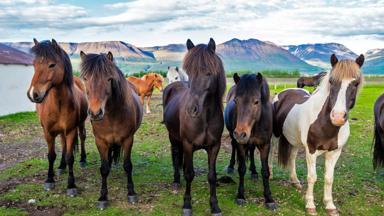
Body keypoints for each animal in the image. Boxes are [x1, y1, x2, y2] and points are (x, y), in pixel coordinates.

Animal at [27, 38, 88, 196]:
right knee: (63, 143)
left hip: (80, 124)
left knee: (82, 137)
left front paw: (71, 185)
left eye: (52, 64)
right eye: (34, 64)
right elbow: (51, 155)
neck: (58, 104)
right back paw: (61, 166)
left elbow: (70, 156)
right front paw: (49, 179)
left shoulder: (71, 130)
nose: (33, 94)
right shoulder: (48, 132)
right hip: (60, 131)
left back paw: (83, 160)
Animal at [79, 50, 142, 209]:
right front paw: (103, 197)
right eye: (85, 78)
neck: (112, 115)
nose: (95, 113)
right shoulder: (100, 141)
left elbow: (128, 165)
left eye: (108, 79)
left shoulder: (128, 139)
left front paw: (131, 192)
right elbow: (103, 168)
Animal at [161, 38, 225, 215]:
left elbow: (212, 176)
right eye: (189, 72)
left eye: (209, 72)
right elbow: (189, 174)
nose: (191, 110)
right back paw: (177, 181)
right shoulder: (188, 144)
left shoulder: (214, 146)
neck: (205, 118)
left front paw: (215, 205)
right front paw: (187, 205)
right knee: (176, 155)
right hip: (173, 137)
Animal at [224, 72, 278, 209]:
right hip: (234, 137)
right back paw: (230, 167)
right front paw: (240, 196)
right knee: (233, 146)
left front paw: (269, 199)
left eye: (256, 101)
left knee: (252, 151)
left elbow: (265, 171)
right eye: (236, 101)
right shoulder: (241, 145)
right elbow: (242, 169)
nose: (240, 134)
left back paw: (253, 171)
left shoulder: (265, 145)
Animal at [272, 53, 364, 215]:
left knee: (292, 157)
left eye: (356, 83)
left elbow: (329, 178)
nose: (338, 117)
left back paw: (295, 181)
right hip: (273, 135)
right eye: (332, 81)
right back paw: (269, 174)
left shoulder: (335, 152)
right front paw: (310, 205)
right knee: (269, 153)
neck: (325, 124)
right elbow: (312, 177)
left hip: (294, 140)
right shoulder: (311, 150)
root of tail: (283, 92)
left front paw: (330, 205)